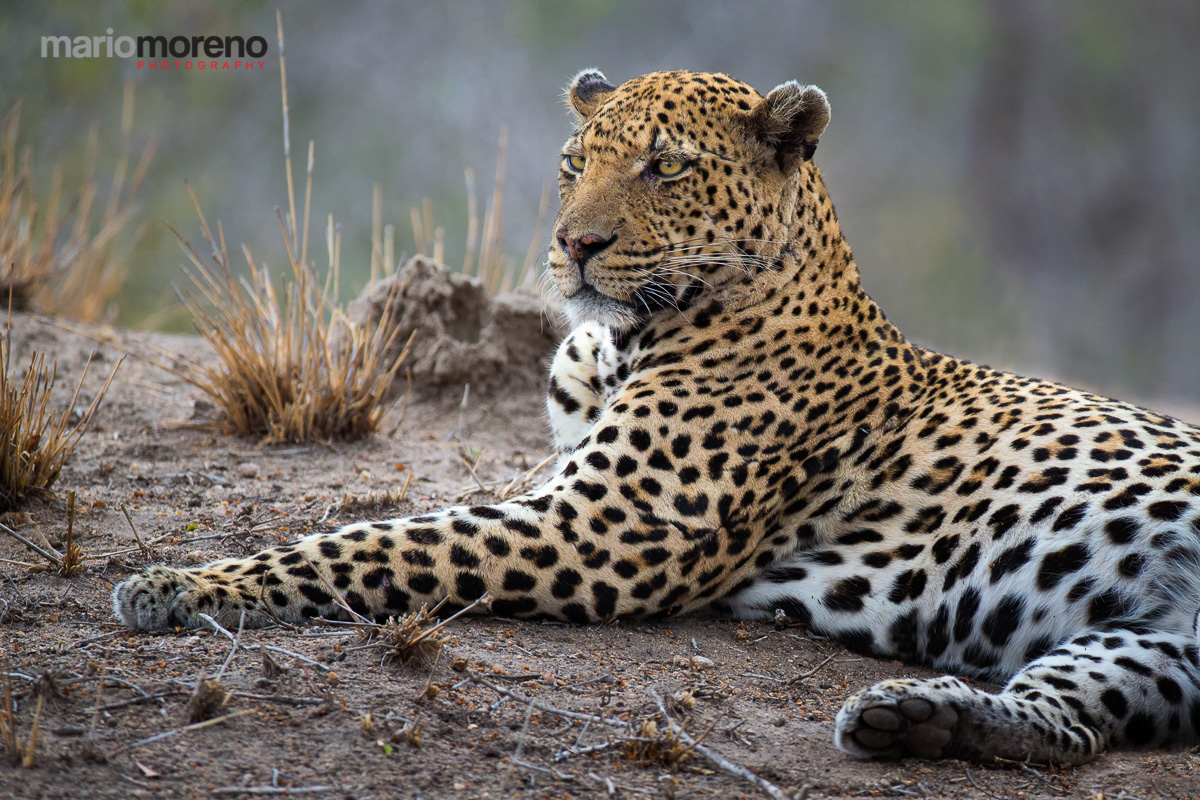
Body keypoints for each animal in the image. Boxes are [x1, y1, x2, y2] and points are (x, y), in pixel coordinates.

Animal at [114, 69, 1200, 764]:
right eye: (571, 161)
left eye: (665, 168)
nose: (575, 244)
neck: (616, 342)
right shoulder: (559, 487)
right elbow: (401, 518)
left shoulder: (600, 527)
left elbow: (379, 542)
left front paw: (180, 583)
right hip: (1146, 647)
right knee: (1072, 727)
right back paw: (918, 720)